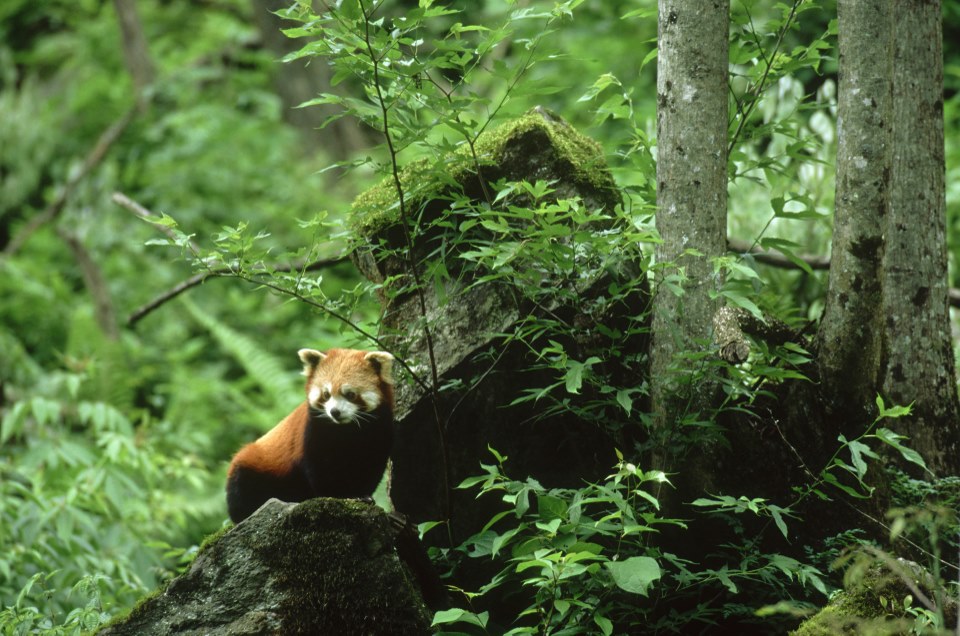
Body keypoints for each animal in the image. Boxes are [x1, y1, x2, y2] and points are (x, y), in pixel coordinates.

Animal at [225, 348, 394, 520]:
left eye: (350, 394)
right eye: (326, 394)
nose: (335, 412)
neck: (346, 430)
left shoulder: (377, 431)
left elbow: (370, 466)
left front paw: (362, 494)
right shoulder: (313, 432)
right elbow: (319, 468)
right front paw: (337, 495)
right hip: (254, 466)